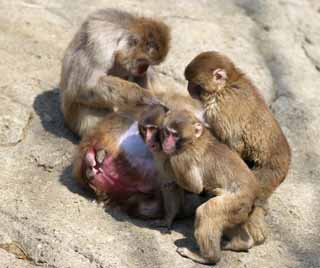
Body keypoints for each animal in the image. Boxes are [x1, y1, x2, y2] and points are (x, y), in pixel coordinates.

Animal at [60, 8, 170, 136]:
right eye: (144, 63)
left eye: (147, 64)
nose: (144, 69)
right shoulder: (100, 46)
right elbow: (84, 88)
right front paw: (145, 97)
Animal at [158, 109, 260, 264]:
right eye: (167, 132)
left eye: (175, 135)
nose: (166, 143)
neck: (194, 140)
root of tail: (254, 196)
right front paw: (167, 219)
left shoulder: (183, 157)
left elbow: (195, 186)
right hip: (240, 210)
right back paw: (242, 243)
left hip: (235, 201)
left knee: (207, 211)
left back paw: (208, 258)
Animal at [184, 50, 292, 245]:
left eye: (194, 84)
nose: (188, 87)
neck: (227, 85)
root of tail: (285, 163)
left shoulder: (220, 109)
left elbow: (235, 144)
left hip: (267, 173)